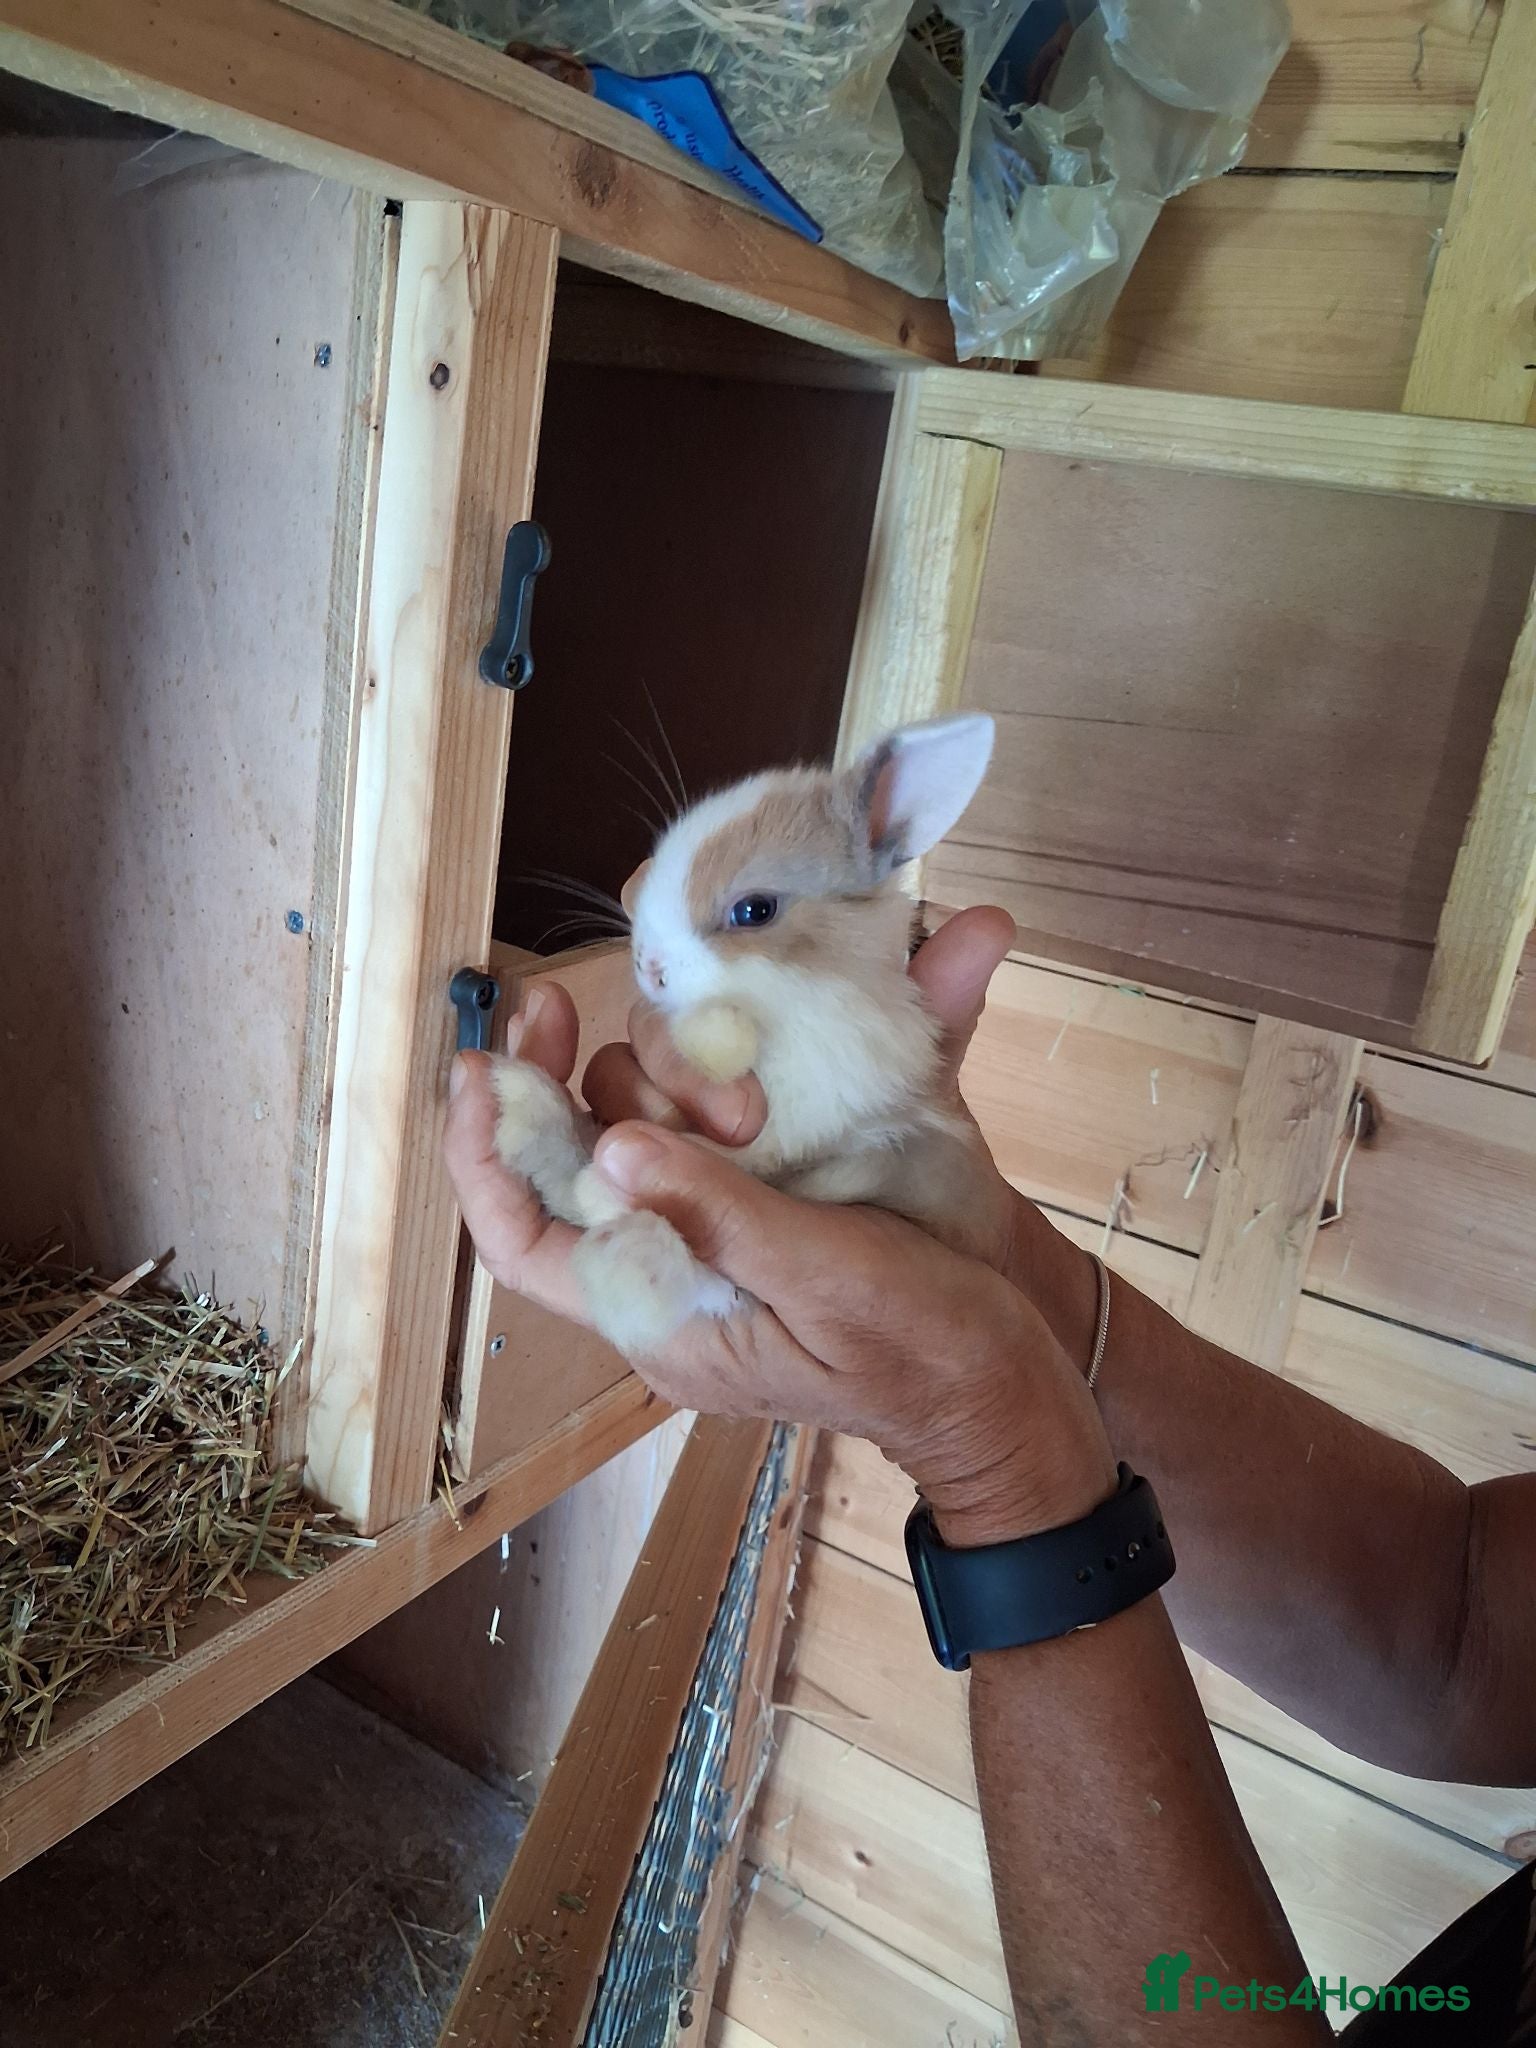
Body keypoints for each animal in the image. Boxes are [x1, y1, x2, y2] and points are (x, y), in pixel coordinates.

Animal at [491, 712, 999, 1355]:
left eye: (754, 911)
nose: (649, 967)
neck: (803, 993)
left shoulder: (818, 1115)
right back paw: (528, 1110)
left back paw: (626, 1249)